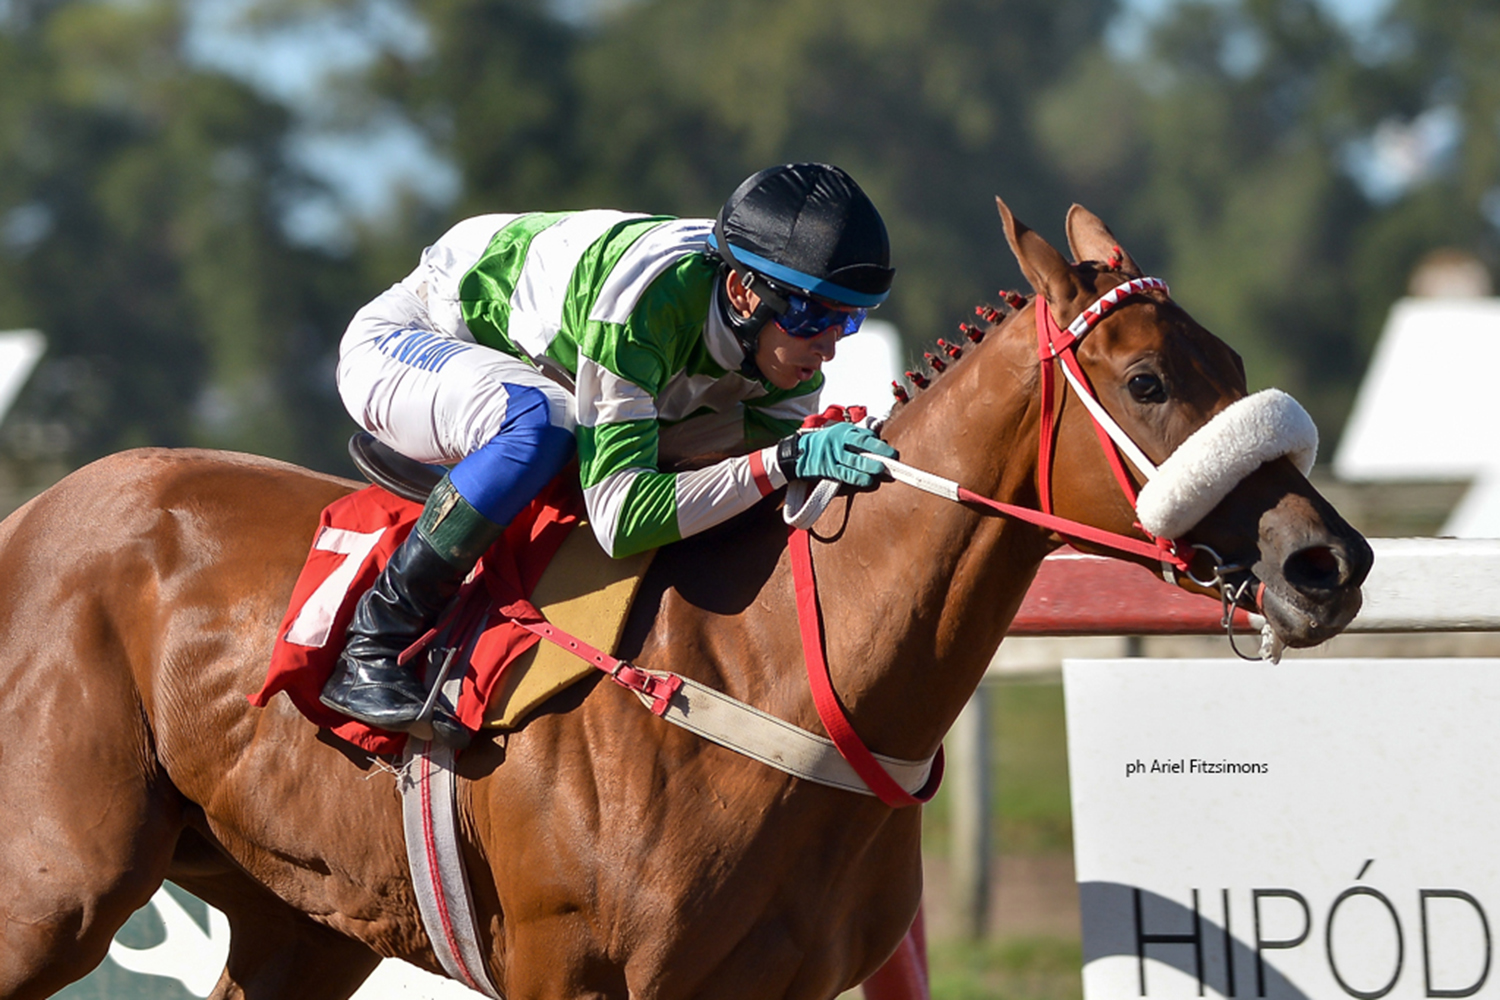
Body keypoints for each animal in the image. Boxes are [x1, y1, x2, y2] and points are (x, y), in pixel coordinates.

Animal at [0, 200, 1371, 1000]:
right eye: (1146, 381)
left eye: (1233, 363)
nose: (1328, 562)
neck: (763, 673)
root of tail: (35, 512)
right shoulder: (571, 973)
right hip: (55, 885)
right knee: (529, 416)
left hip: (300, 918)